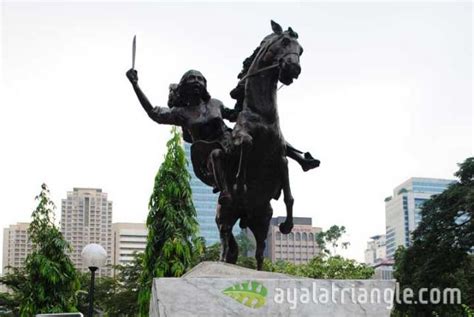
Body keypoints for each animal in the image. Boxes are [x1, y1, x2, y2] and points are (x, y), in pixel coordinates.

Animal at [218, 21, 304, 270]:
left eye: (301, 50)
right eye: (284, 42)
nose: (293, 69)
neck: (263, 114)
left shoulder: (281, 158)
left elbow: (289, 196)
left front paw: (287, 225)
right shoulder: (241, 140)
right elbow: (245, 143)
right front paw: (240, 184)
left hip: (261, 221)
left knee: (258, 253)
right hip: (225, 215)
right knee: (225, 240)